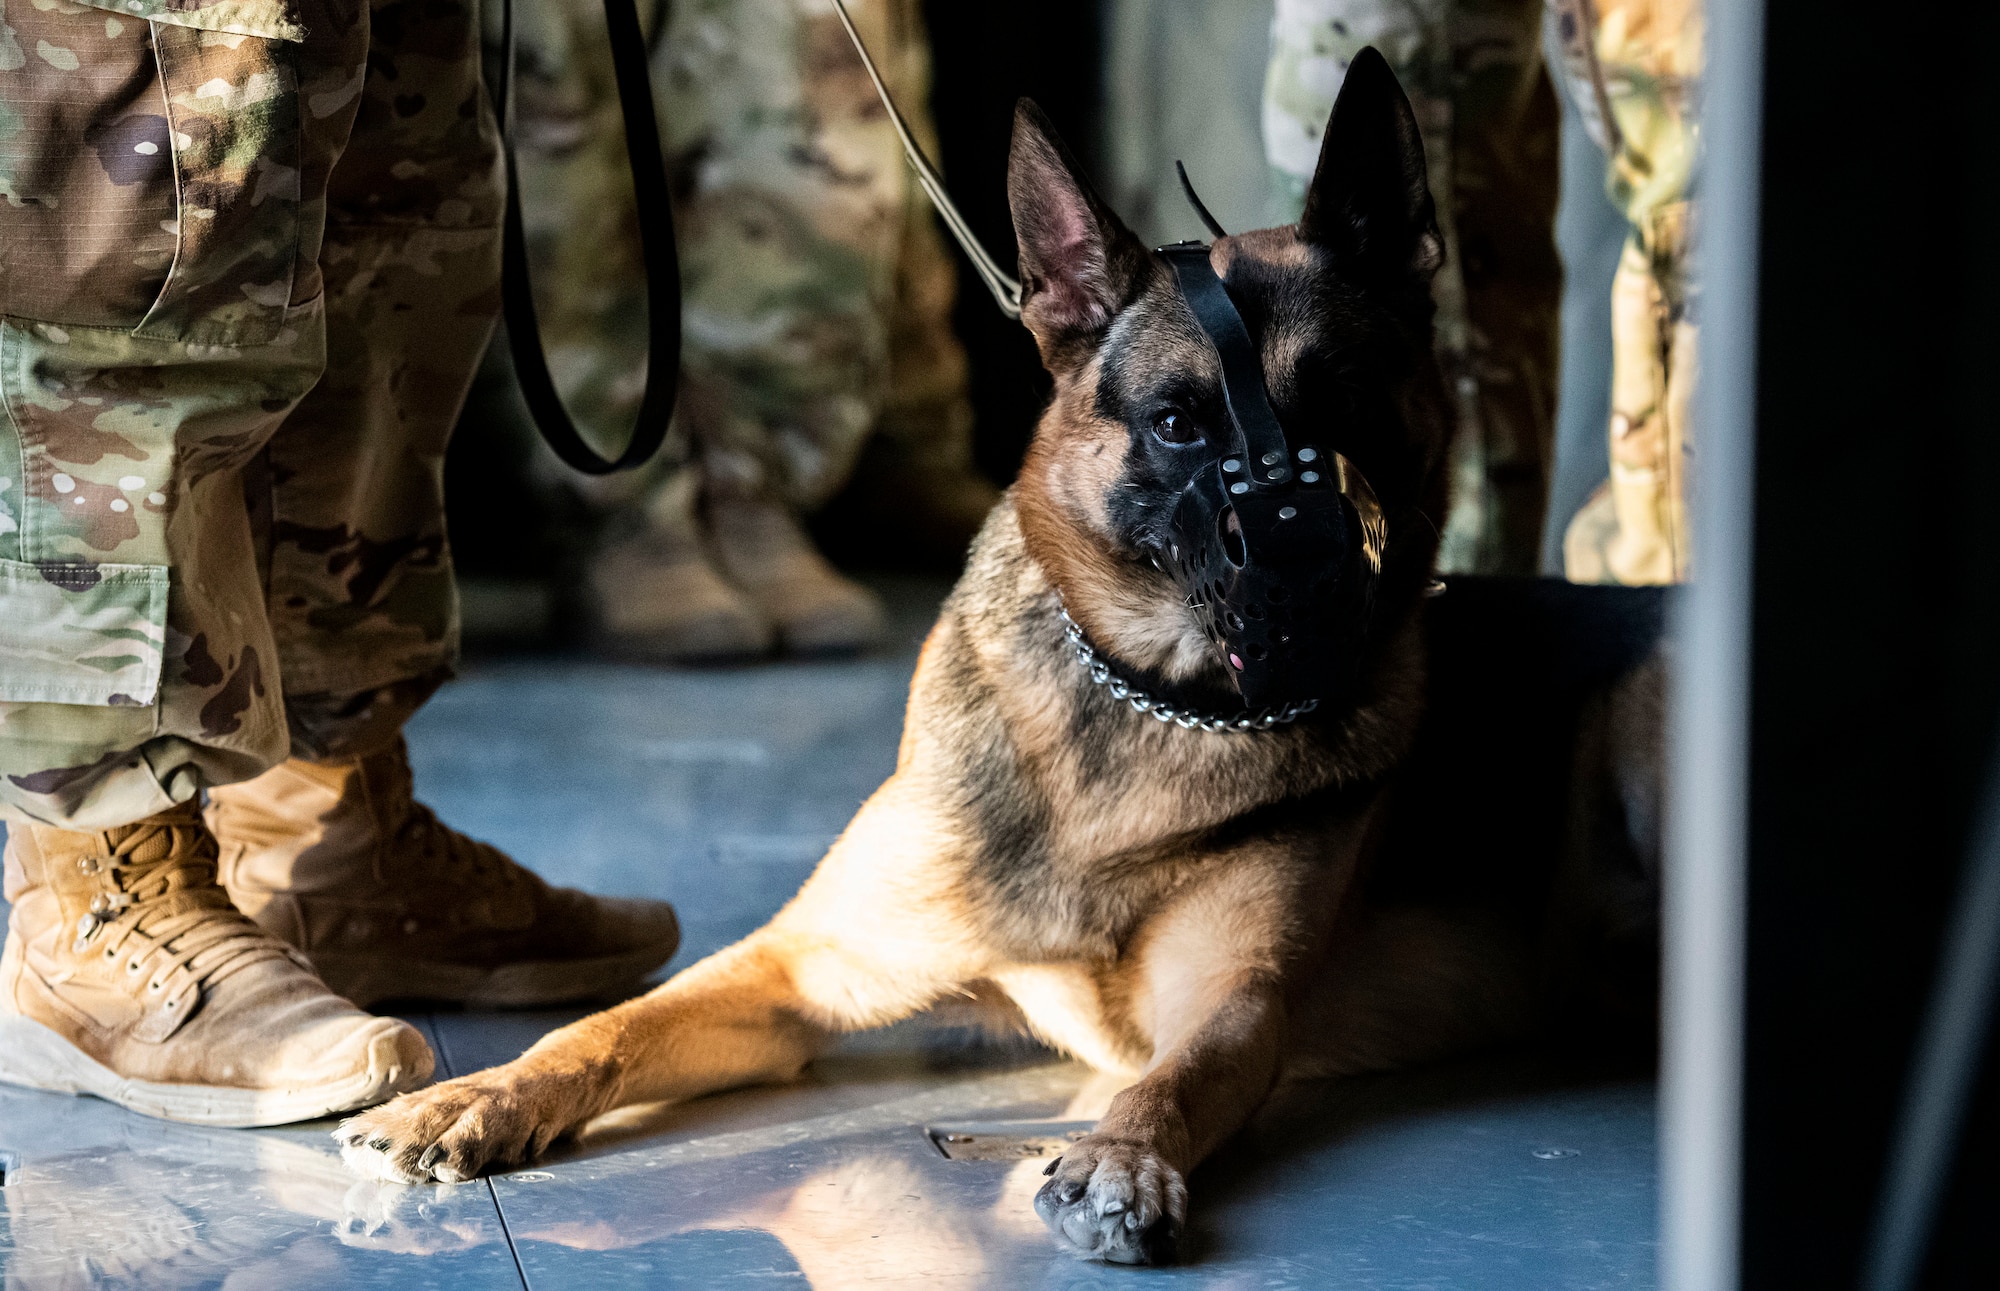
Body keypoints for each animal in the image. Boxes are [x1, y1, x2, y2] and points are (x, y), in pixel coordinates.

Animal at [336, 55, 1664, 1271]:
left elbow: (1165, 1084)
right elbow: (609, 1025)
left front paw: (1120, 1156)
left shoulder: (1232, 1006)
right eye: (1180, 423)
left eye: (1346, 404)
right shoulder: (795, 972)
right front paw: (478, 1093)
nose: (1311, 578)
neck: (1151, 710)